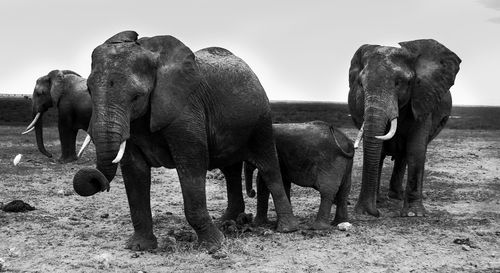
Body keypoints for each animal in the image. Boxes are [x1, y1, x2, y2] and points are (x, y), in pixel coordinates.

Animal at [72, 30, 298, 252]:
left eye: (137, 96)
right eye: (89, 91)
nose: (98, 182)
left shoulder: (186, 109)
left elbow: (191, 165)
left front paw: (214, 246)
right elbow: (134, 170)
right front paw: (139, 247)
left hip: (261, 120)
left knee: (269, 167)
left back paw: (286, 228)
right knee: (230, 171)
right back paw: (226, 221)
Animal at [348, 38, 460, 217]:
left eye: (398, 83)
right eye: (360, 84)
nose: (374, 213)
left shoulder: (423, 98)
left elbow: (416, 149)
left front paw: (413, 214)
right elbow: (378, 150)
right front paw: (370, 208)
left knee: (405, 155)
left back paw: (397, 196)